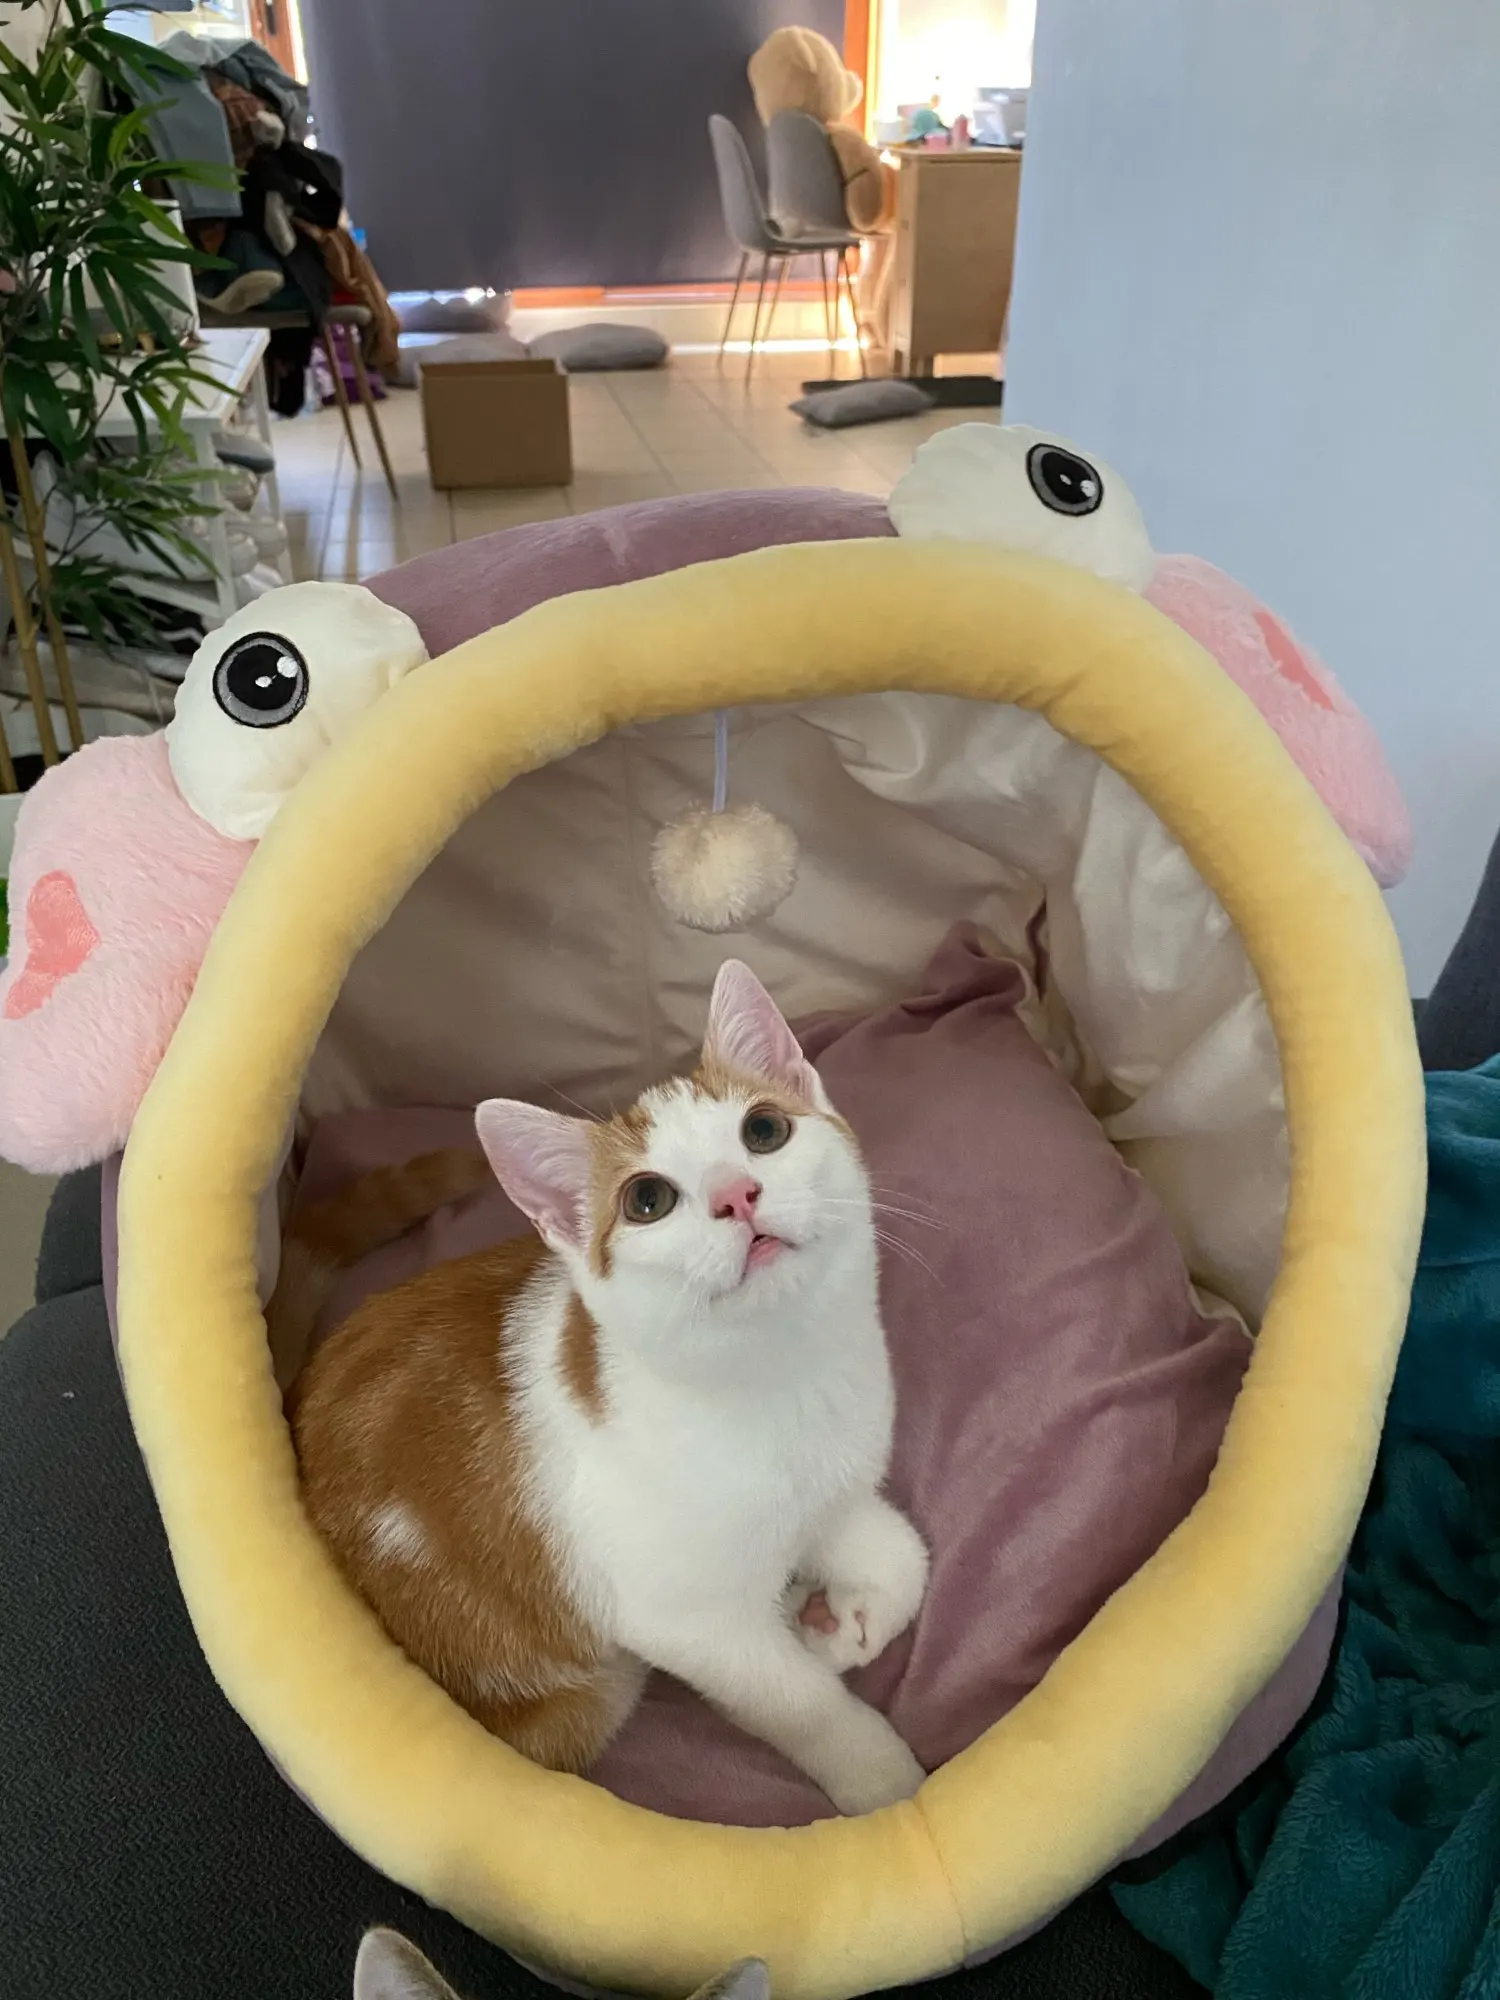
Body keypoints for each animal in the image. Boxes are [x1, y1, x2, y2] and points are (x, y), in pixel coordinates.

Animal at [288, 960, 929, 1816]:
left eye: (764, 1131)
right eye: (647, 1201)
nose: (736, 1194)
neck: (775, 1377)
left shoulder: (831, 1480)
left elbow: (904, 1554)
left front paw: (845, 1619)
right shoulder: (680, 1619)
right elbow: (793, 1700)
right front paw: (883, 1778)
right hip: (582, 1694)